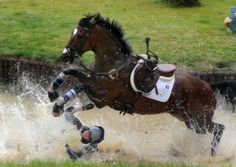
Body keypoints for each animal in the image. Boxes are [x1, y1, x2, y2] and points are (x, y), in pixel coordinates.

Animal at [57, 13, 225, 156]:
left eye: (79, 35)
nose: (64, 56)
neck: (113, 64)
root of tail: (209, 87)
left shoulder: (102, 99)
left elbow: (82, 87)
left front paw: (58, 103)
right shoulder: (94, 85)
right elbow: (72, 72)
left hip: (199, 117)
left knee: (219, 128)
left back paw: (211, 154)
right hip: (187, 118)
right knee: (204, 131)